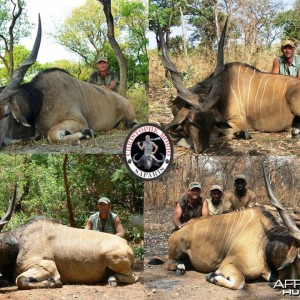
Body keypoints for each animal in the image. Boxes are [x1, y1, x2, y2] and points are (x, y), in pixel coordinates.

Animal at [0, 16, 136, 148]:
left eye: (6, 114)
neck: (41, 98)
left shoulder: (79, 121)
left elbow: (52, 135)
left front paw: (89, 133)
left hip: (130, 117)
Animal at [0, 185, 138, 288]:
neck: (19, 242)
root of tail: (125, 243)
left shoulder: (48, 266)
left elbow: (20, 280)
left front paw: (54, 282)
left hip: (113, 258)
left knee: (134, 277)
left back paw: (113, 279)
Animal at [166, 163, 300, 290]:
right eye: (299, 256)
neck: (265, 243)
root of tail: (181, 228)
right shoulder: (229, 264)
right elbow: (239, 283)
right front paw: (211, 276)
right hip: (175, 252)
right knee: (169, 263)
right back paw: (180, 267)